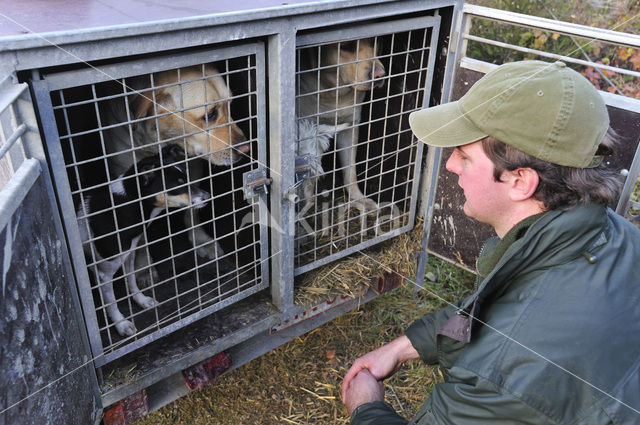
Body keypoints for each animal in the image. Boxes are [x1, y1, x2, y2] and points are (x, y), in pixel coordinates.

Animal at [76, 144, 209, 336]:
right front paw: (121, 324)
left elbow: (131, 281)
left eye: (187, 177)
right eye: (179, 184)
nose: (207, 197)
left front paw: (141, 300)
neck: (125, 207)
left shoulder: (129, 255)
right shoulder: (104, 272)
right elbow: (112, 303)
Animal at [298, 38, 384, 212]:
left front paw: (359, 199)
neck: (333, 94)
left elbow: (350, 171)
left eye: (374, 42)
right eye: (347, 46)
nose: (380, 74)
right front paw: (306, 202)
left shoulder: (351, 127)